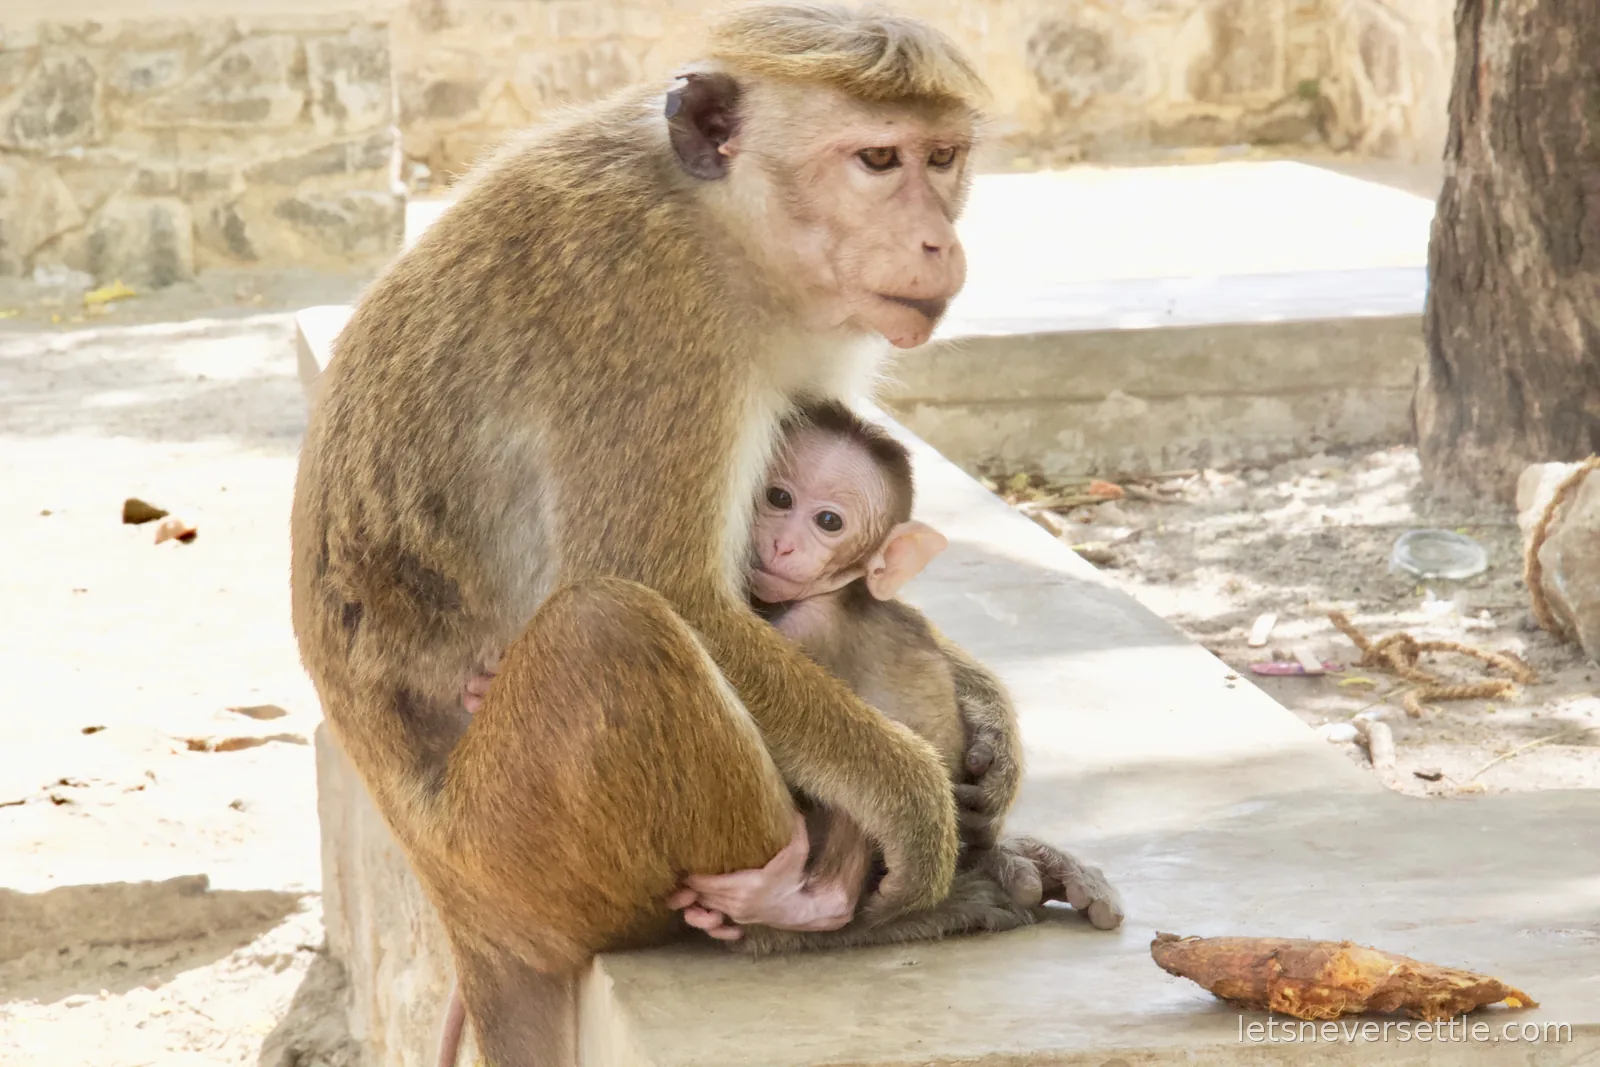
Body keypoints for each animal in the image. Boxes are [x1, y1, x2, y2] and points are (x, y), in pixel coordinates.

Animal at [293, 6, 1068, 1064]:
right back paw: (808, 918)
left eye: (941, 157)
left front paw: (989, 722)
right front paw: (912, 798)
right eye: (877, 158)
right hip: (520, 852)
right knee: (610, 629)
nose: (935, 241)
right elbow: (668, 582)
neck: (721, 218)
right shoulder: (654, 315)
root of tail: (450, 890)